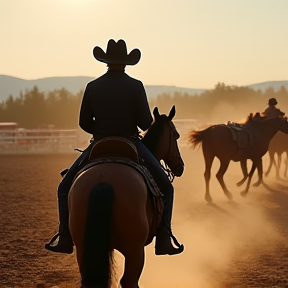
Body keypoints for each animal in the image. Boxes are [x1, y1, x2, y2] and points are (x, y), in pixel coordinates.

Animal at [68, 106, 183, 288]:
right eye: (176, 135)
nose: (181, 166)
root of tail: (103, 179)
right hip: (135, 250)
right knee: (129, 281)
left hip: (83, 247)